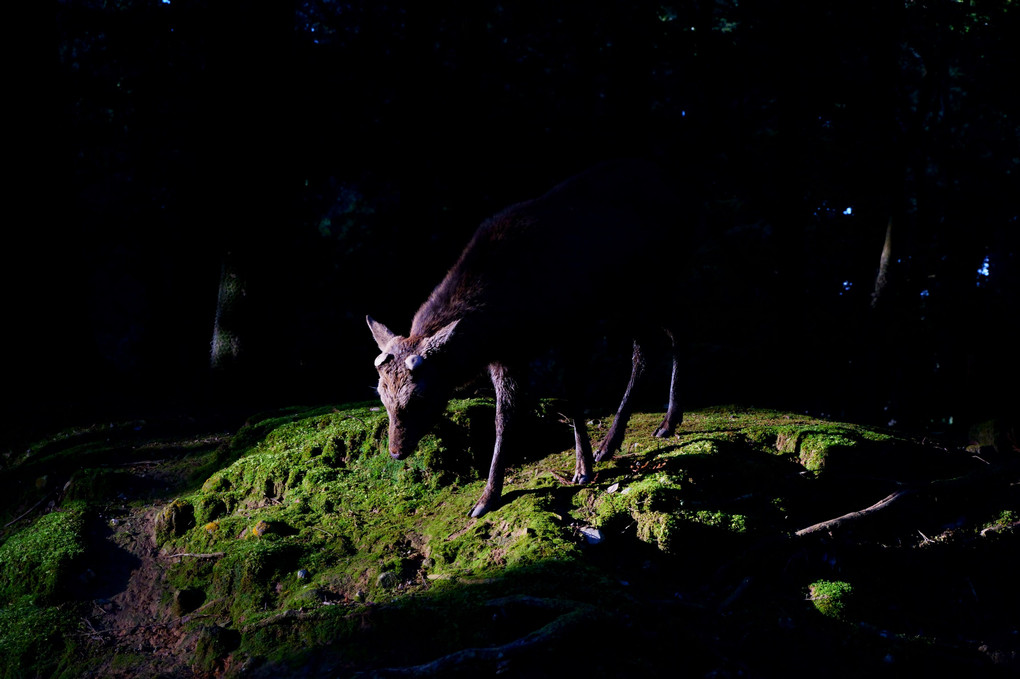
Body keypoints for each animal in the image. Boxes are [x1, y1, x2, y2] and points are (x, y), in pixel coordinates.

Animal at [367, 160, 685, 517]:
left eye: (420, 397)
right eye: (382, 398)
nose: (396, 451)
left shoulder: (574, 324)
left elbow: (572, 396)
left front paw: (583, 468)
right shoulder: (507, 356)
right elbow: (504, 417)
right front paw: (488, 497)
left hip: (655, 281)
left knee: (671, 334)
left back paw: (656, 426)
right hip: (631, 302)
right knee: (654, 342)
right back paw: (630, 436)